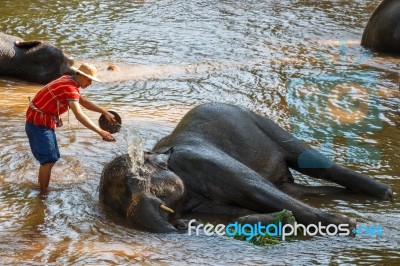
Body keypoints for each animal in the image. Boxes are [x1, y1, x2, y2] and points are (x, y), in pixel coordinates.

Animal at [98, 103, 392, 232]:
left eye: (137, 180)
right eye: (120, 202)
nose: (182, 224)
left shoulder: (201, 159)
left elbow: (256, 189)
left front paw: (346, 223)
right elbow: (238, 212)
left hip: (260, 122)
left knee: (309, 161)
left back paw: (384, 193)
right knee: (296, 190)